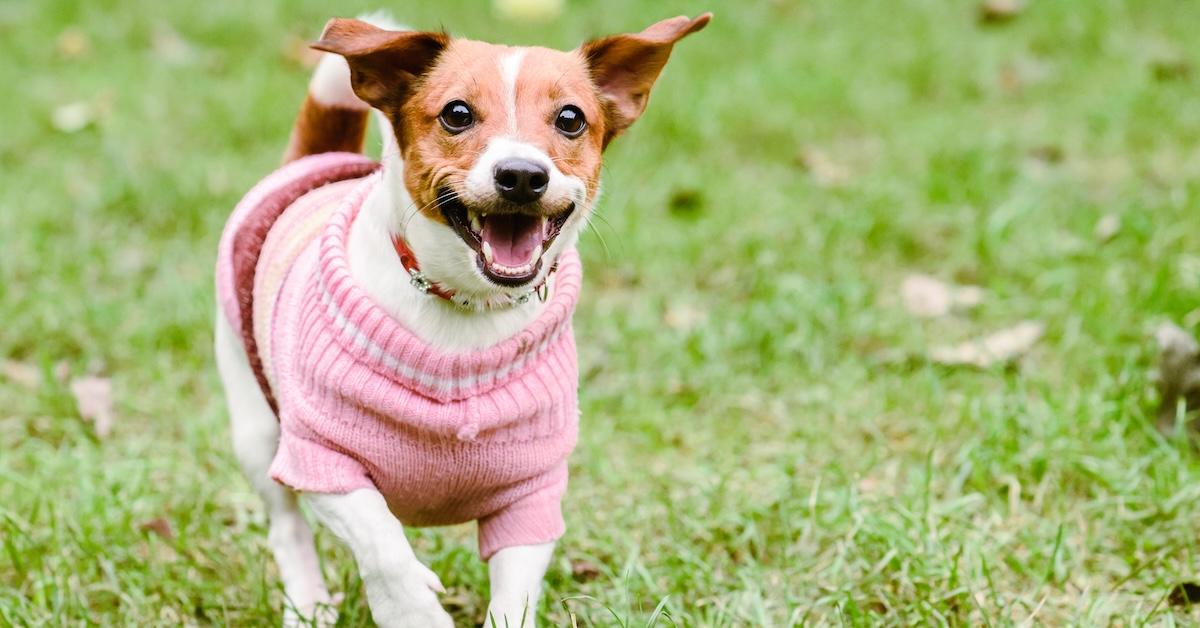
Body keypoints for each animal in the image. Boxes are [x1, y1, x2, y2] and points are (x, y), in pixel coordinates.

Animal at [213, 11, 710, 628]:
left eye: (571, 119)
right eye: (457, 113)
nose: (521, 175)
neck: (468, 308)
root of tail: (319, 161)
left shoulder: (532, 494)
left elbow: (514, 591)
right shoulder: (320, 460)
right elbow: (382, 544)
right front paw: (412, 608)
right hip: (257, 430)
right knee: (287, 527)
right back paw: (310, 604)